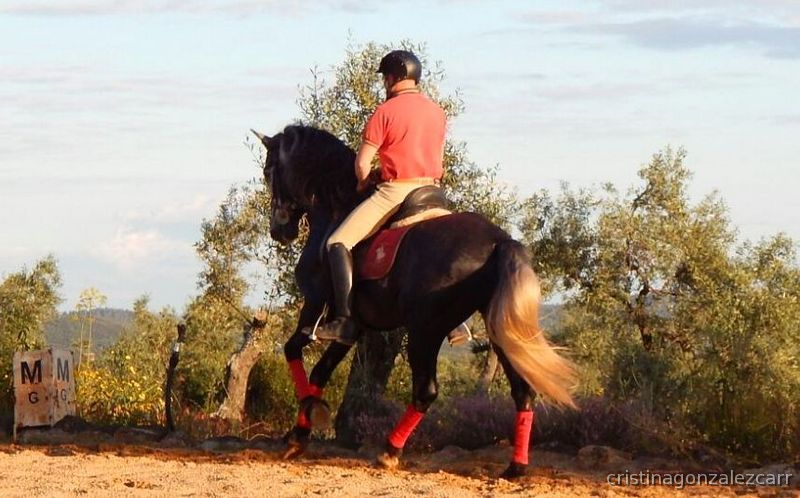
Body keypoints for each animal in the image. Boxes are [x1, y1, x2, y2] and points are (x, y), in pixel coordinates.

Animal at [252, 124, 576, 479]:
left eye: (268, 171)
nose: (279, 231)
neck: (335, 207)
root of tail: (498, 241)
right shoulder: (354, 325)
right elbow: (320, 373)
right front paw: (304, 427)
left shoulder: (314, 304)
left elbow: (293, 351)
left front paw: (303, 425)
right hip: (498, 330)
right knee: (522, 391)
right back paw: (515, 467)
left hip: (425, 331)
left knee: (426, 391)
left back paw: (389, 451)